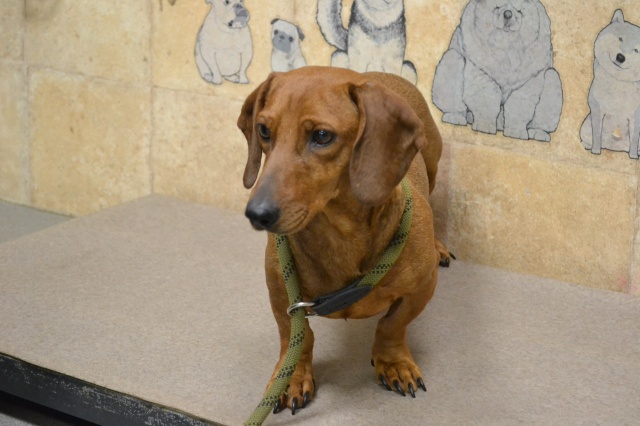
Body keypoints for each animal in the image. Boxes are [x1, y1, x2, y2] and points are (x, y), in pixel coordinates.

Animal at [238, 66, 450, 414]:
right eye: (264, 130)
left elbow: (392, 325)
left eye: (322, 136)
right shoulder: (283, 296)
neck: (338, 234)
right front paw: (292, 377)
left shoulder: (422, 289)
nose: (257, 214)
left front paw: (393, 362)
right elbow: (296, 338)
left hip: (431, 164)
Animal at [432, 0, 562, 141]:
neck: (506, 48)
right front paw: (484, 127)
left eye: (519, 10)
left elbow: (519, 107)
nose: (508, 14)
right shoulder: (481, 71)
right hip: (452, 59)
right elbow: (486, 99)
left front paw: (516, 133)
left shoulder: (529, 79)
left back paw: (538, 134)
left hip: (553, 79)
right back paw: (455, 117)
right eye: (498, 6)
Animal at [580, 9, 640, 159]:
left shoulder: (636, 116)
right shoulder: (597, 110)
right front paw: (595, 151)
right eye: (620, 39)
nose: (621, 57)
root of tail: (613, 148)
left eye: (636, 50)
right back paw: (588, 146)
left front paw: (633, 157)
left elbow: (634, 139)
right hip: (585, 125)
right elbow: (597, 134)